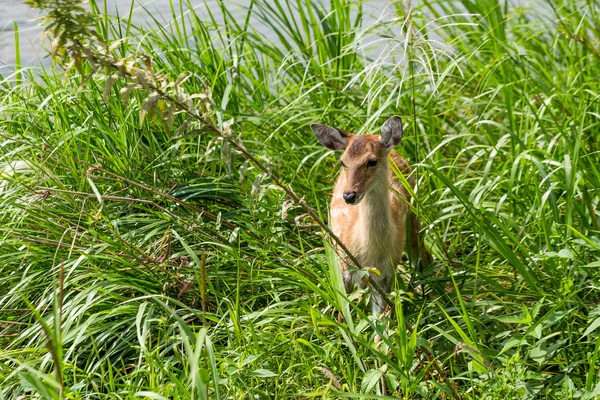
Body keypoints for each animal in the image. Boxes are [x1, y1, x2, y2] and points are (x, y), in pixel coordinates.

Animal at [310, 115, 432, 316]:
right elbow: (343, 314)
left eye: (372, 161)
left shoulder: (386, 274)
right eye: (343, 162)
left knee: (423, 257)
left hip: (414, 221)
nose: (349, 195)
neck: (370, 254)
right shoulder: (344, 266)